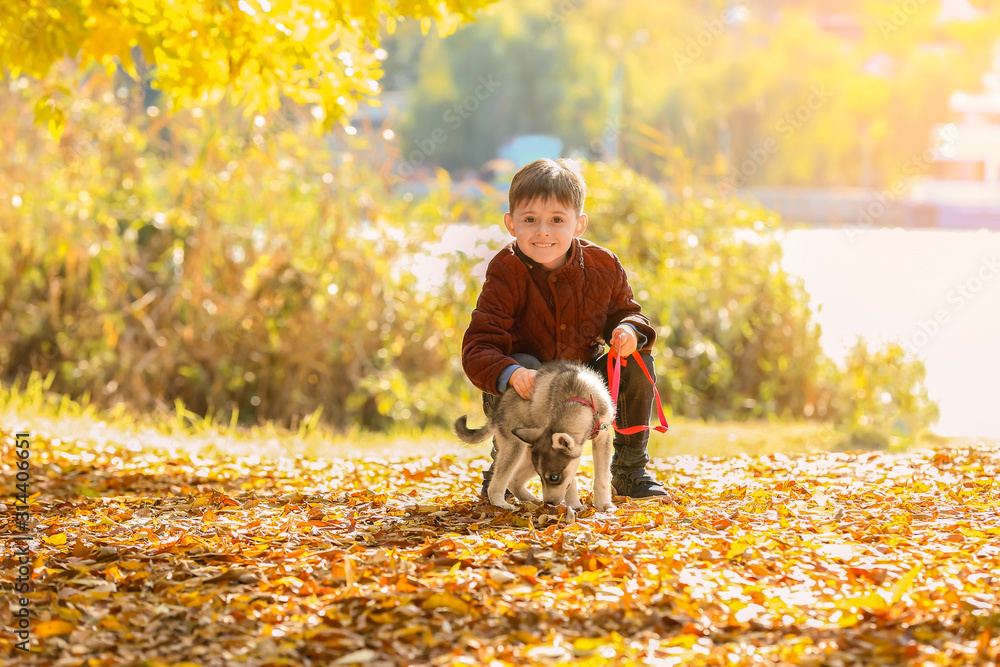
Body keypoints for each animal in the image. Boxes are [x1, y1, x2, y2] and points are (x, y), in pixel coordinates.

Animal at [456, 362, 612, 516]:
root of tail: (496, 413)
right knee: (499, 481)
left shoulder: (603, 437)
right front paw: (574, 504)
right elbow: (571, 482)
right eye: (541, 476)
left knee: (514, 481)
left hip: (528, 451)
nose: (549, 503)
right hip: (516, 448)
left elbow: (602, 477)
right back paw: (501, 503)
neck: (577, 399)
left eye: (554, 477)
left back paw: (532, 501)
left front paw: (603, 504)